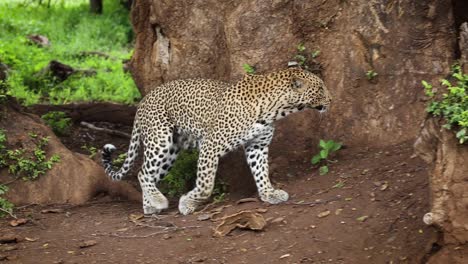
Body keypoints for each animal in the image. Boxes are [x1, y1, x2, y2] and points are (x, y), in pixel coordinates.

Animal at [101, 65, 330, 214]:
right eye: (320, 89)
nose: (331, 99)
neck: (275, 109)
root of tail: (143, 102)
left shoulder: (257, 146)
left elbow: (261, 172)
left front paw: (268, 193)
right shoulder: (210, 145)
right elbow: (206, 184)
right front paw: (187, 203)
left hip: (171, 151)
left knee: (150, 174)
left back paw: (149, 206)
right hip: (160, 140)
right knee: (142, 173)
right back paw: (158, 201)